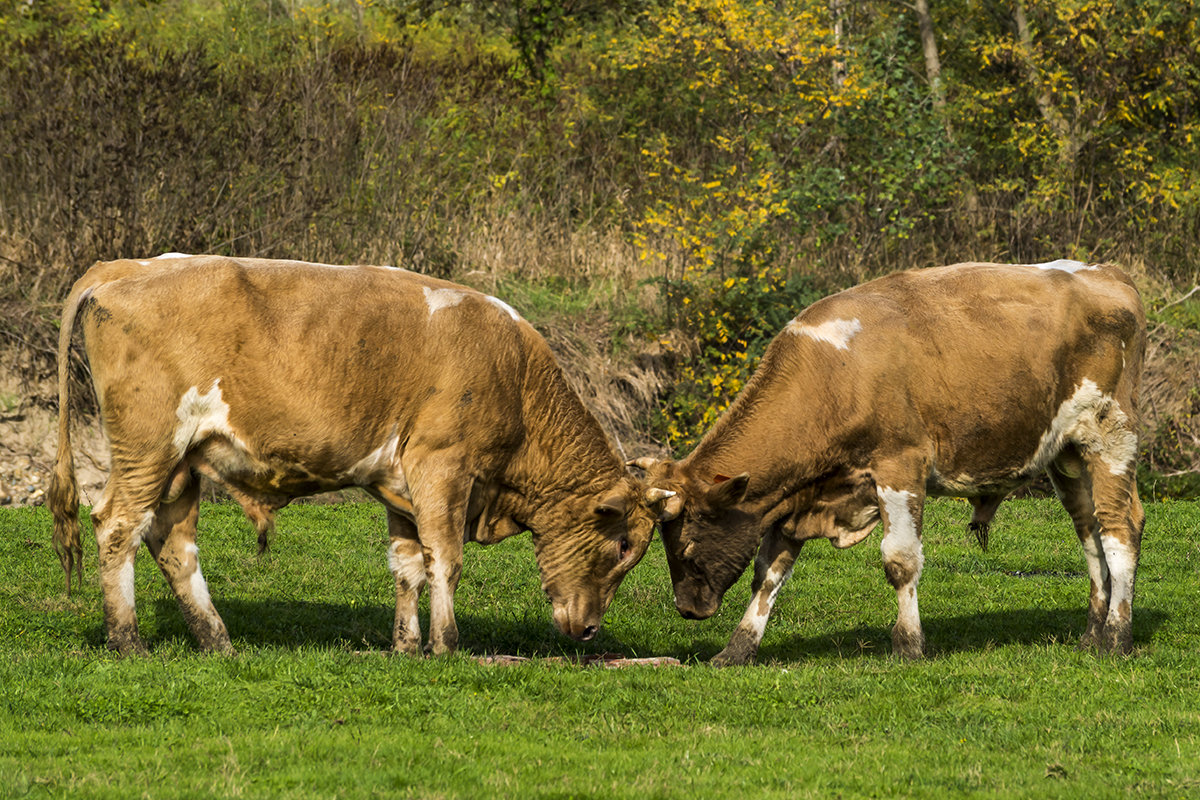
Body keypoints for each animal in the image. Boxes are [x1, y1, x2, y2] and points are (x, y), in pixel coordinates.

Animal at [51, 255, 667, 657]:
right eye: (622, 545)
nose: (590, 632)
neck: (514, 377)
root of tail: (125, 265)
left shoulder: (402, 484)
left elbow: (408, 565)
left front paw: (406, 647)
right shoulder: (443, 465)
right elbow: (446, 558)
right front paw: (448, 647)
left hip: (182, 464)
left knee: (172, 543)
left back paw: (217, 641)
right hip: (149, 444)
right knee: (116, 526)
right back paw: (128, 642)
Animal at [633, 261, 1147, 662]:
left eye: (687, 542)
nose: (687, 607)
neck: (833, 375)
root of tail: (1108, 273)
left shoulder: (900, 466)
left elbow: (900, 561)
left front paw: (908, 645)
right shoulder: (796, 494)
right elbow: (769, 572)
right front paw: (737, 649)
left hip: (1110, 435)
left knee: (1120, 530)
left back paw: (1116, 638)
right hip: (1067, 455)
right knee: (1090, 534)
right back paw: (1091, 634)